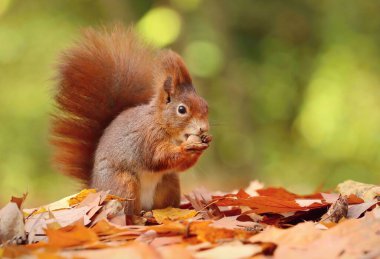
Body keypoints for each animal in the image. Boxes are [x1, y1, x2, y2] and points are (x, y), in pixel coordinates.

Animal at [50, 25, 211, 214]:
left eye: (205, 105)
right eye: (181, 110)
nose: (203, 128)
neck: (160, 122)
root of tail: (95, 188)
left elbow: (179, 166)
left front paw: (205, 141)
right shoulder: (147, 138)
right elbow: (158, 157)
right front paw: (188, 147)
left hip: (168, 182)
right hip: (124, 183)